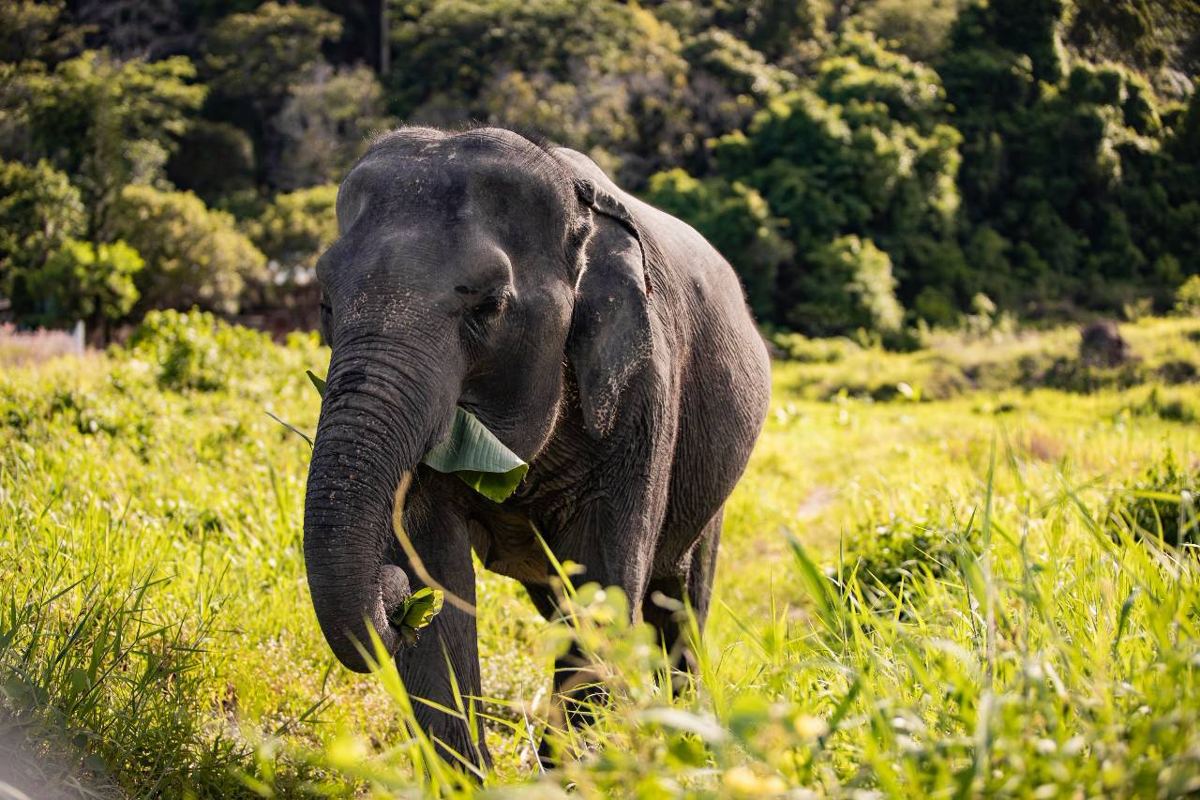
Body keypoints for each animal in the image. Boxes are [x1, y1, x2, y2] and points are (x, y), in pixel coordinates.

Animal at [303, 126, 771, 770]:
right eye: (325, 302)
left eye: (489, 305)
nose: (394, 601)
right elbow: (438, 574)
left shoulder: (642, 385)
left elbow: (601, 588)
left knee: (679, 599)